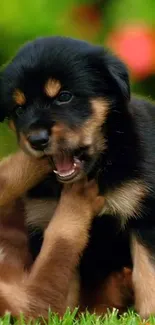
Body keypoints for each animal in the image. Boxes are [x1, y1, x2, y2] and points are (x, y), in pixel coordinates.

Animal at [0, 36, 154, 316]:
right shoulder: (43, 220)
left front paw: (149, 316)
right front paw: (60, 316)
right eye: (19, 109)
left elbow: (148, 273)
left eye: (64, 96)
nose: (36, 140)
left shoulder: (145, 214)